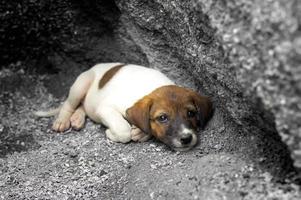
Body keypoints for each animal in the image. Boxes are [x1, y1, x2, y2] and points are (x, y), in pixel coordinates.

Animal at [35, 63, 212, 151]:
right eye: (163, 118)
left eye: (191, 113)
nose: (186, 138)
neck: (150, 86)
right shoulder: (106, 108)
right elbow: (123, 131)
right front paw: (111, 133)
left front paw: (140, 133)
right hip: (81, 84)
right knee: (69, 104)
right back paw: (63, 120)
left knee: (83, 107)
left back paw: (77, 119)